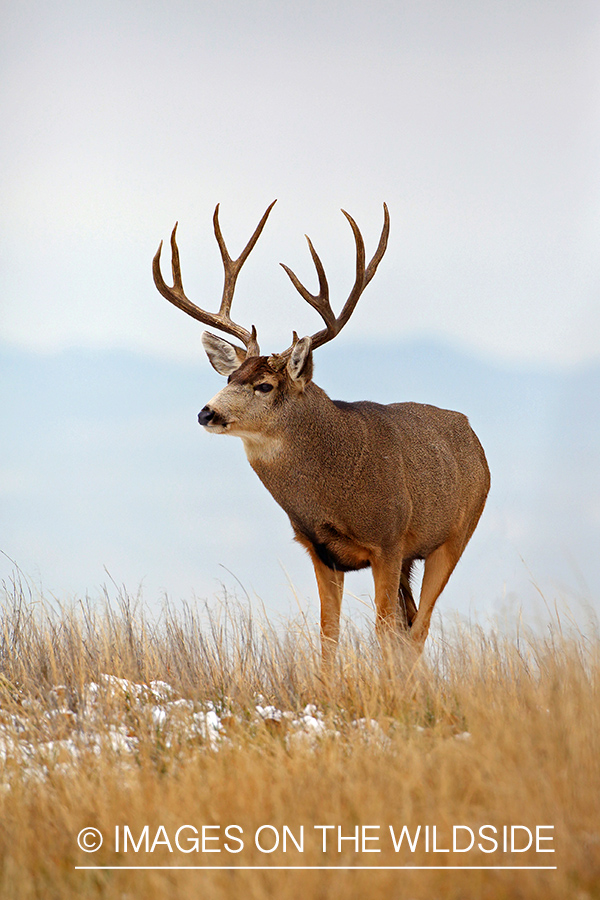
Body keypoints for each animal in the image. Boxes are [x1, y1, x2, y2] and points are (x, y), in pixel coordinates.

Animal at [153, 201, 490, 665]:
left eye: (265, 385)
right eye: (230, 377)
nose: (207, 412)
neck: (333, 493)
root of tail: (472, 435)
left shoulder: (388, 542)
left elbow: (382, 630)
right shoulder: (321, 550)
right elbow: (328, 633)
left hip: (455, 536)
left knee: (417, 630)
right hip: (413, 557)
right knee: (411, 626)